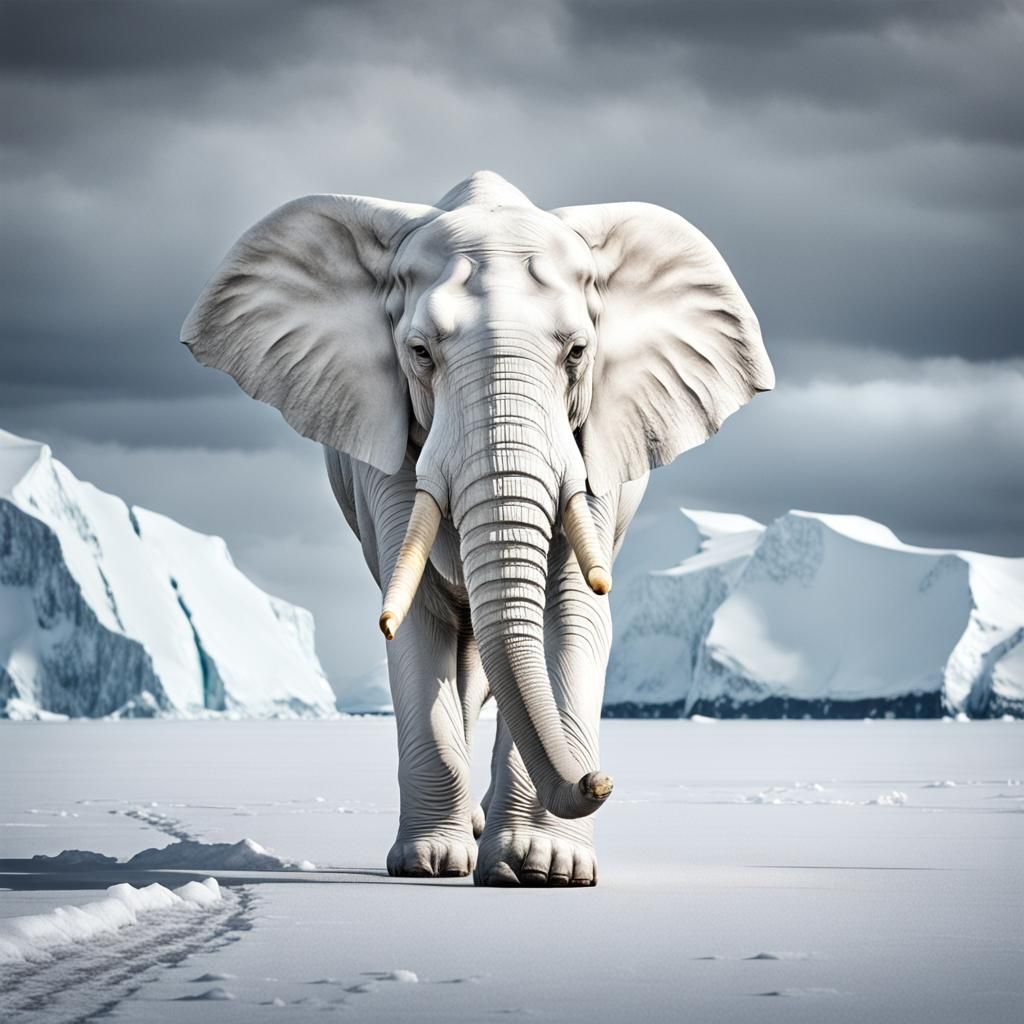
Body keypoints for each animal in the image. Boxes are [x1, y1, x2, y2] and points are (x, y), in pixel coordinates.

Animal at [181, 171, 773, 886]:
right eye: (419, 353)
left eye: (578, 352)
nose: (598, 781)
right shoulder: (384, 447)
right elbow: (415, 618)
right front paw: (429, 864)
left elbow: (569, 613)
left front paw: (542, 870)